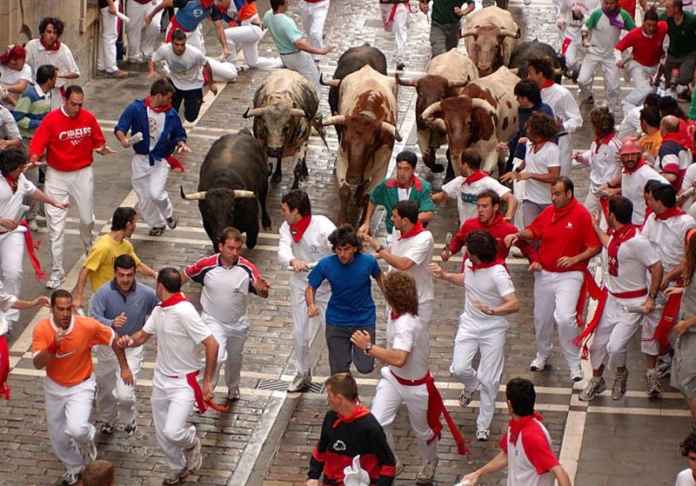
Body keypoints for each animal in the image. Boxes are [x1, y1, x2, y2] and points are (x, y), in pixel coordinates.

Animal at [322, 64, 402, 226]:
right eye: (346, 141)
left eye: (371, 145)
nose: (353, 178)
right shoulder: (343, 159)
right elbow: (344, 191)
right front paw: (342, 222)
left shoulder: (381, 167)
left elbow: (369, 196)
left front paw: (363, 225)